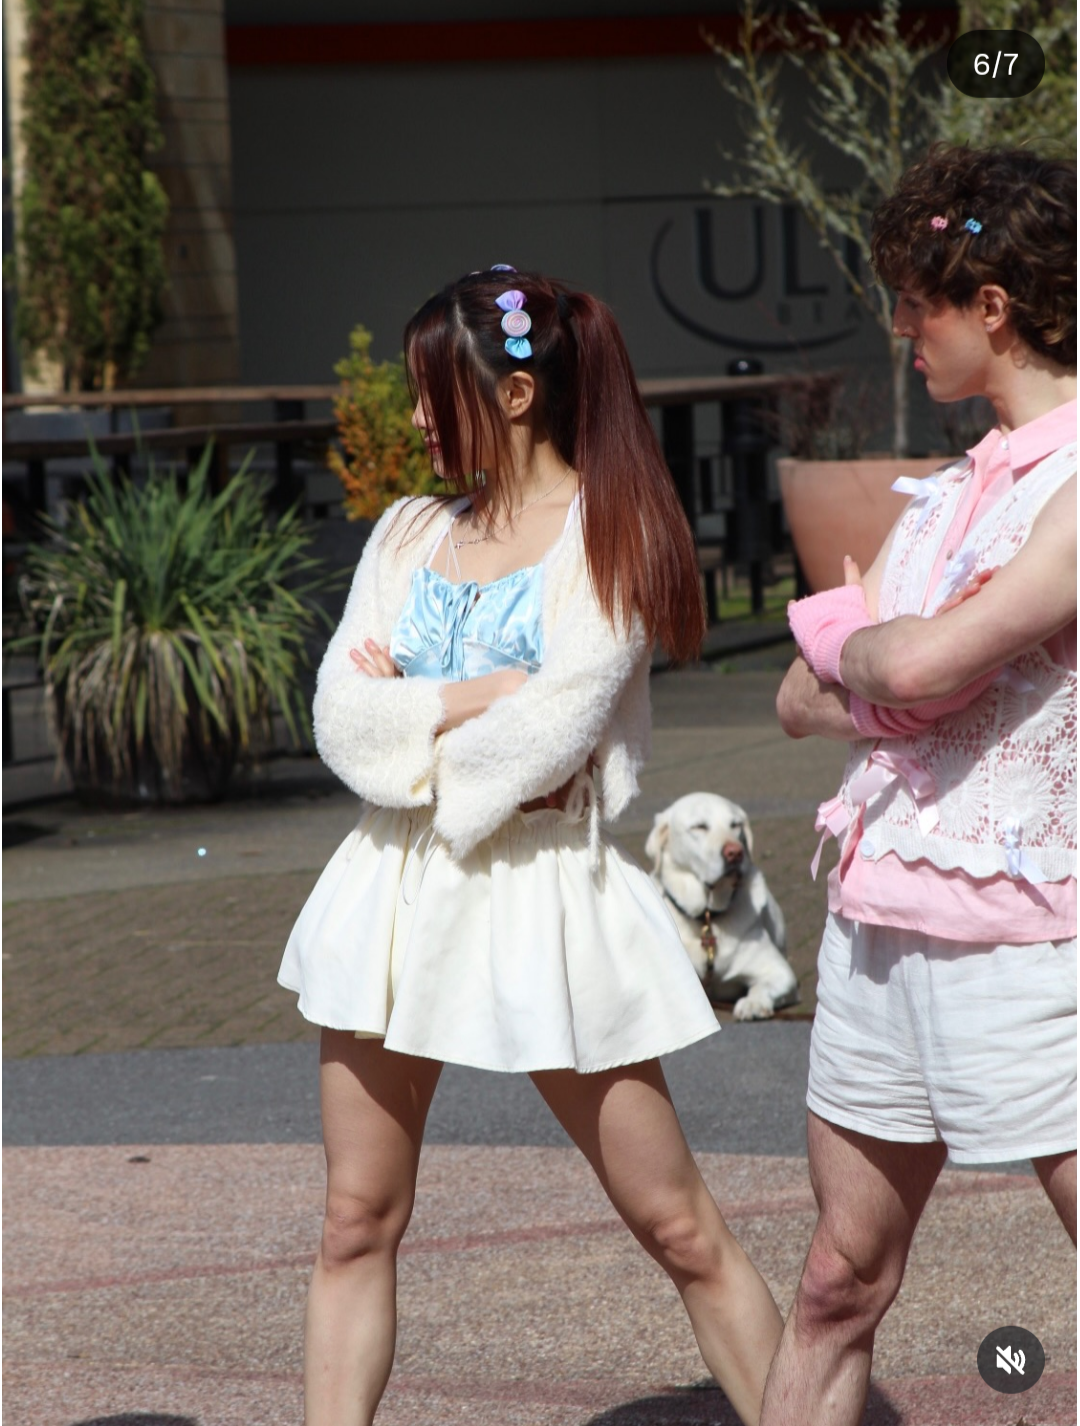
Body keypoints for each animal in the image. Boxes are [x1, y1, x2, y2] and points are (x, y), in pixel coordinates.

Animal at [645, 792, 799, 1020]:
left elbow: (762, 986)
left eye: (735, 825)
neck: (707, 916)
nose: (735, 852)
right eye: (699, 826)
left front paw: (753, 1003)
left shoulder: (780, 972)